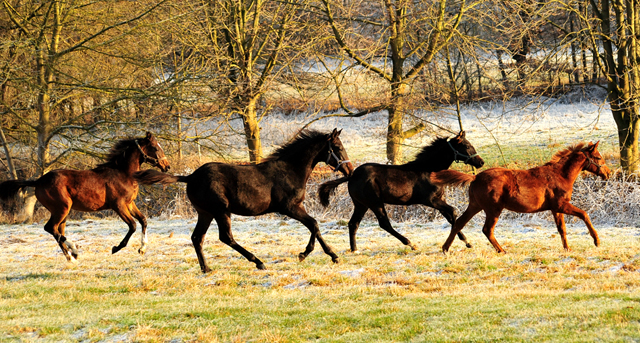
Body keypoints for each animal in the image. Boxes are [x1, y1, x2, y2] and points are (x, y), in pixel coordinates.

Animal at [0, 133, 170, 262]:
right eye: (155, 148)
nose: (167, 166)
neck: (124, 174)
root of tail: (38, 181)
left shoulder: (130, 203)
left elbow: (143, 220)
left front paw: (142, 249)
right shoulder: (119, 205)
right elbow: (133, 225)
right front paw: (116, 248)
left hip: (63, 212)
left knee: (58, 230)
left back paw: (70, 257)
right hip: (62, 208)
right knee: (51, 228)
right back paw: (74, 251)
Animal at [134, 130, 356, 274]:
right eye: (337, 147)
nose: (350, 170)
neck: (290, 170)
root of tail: (190, 177)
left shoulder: (295, 208)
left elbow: (313, 226)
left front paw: (320, 254)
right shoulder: (290, 208)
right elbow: (314, 224)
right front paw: (320, 254)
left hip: (205, 213)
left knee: (197, 238)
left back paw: (206, 268)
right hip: (221, 211)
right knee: (226, 237)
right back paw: (258, 262)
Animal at [320, 131, 484, 253]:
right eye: (466, 146)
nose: (481, 162)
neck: (429, 170)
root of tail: (352, 175)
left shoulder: (439, 200)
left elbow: (450, 217)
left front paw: (467, 242)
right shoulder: (431, 201)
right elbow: (454, 212)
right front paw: (464, 242)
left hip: (361, 204)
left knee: (353, 223)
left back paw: (354, 249)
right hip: (375, 202)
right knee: (384, 223)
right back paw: (410, 244)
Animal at [432, 141, 612, 254]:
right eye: (598, 157)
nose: (608, 173)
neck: (560, 175)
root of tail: (475, 177)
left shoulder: (555, 209)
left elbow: (562, 229)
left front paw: (567, 249)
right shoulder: (561, 205)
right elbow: (584, 214)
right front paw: (596, 241)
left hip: (475, 205)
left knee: (459, 223)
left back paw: (445, 249)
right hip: (493, 209)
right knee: (487, 229)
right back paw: (502, 250)